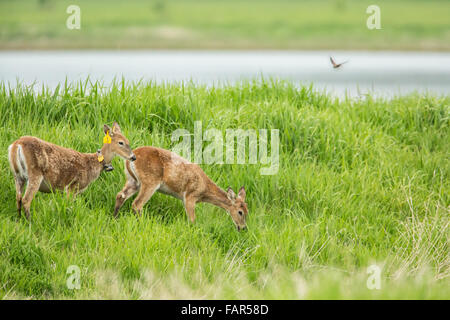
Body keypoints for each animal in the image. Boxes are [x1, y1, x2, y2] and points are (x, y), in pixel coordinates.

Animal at [111, 146, 248, 231]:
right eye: (240, 212)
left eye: (248, 211)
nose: (243, 228)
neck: (204, 189)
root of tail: (129, 159)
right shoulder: (190, 196)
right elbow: (192, 219)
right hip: (150, 182)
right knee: (137, 204)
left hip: (133, 180)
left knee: (120, 195)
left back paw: (115, 218)